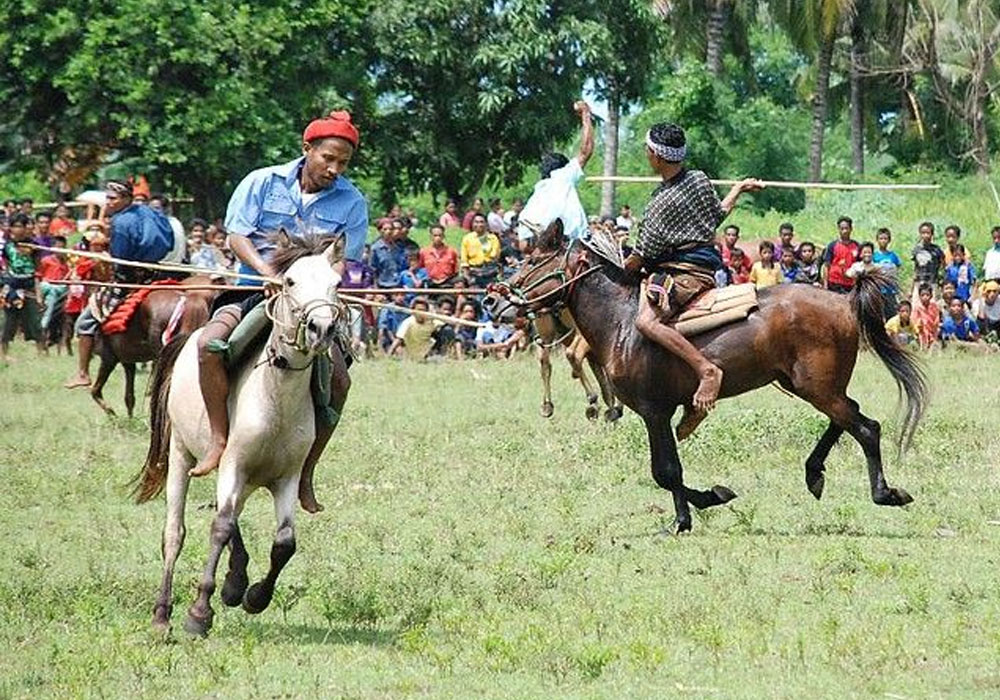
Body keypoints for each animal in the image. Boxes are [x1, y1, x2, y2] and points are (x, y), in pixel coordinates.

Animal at [133, 235, 346, 636]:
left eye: (336, 283)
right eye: (289, 281)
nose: (321, 328)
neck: (275, 396)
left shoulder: (286, 476)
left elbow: (284, 543)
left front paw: (254, 596)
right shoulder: (233, 464)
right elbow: (219, 528)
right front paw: (199, 613)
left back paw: (235, 581)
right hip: (183, 455)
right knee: (175, 533)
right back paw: (163, 614)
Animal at [486, 223, 928, 532]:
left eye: (532, 261)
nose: (491, 299)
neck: (622, 321)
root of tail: (845, 300)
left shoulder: (654, 411)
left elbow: (665, 471)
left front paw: (685, 518)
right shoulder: (660, 412)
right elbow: (667, 471)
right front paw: (707, 500)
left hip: (817, 387)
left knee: (865, 427)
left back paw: (885, 492)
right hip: (812, 386)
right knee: (847, 417)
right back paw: (814, 472)